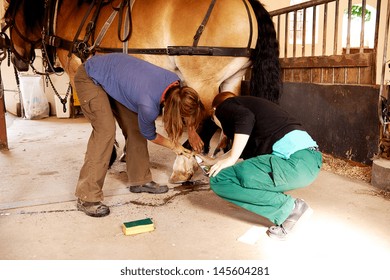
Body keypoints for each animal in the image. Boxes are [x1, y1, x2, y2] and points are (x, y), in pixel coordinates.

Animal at [3, 0, 280, 183]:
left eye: (7, 19)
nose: (16, 60)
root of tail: (248, 4)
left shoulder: (79, 72)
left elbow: (102, 121)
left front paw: (112, 154)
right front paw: (126, 152)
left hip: (202, 79)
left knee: (207, 120)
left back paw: (186, 162)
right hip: (231, 78)